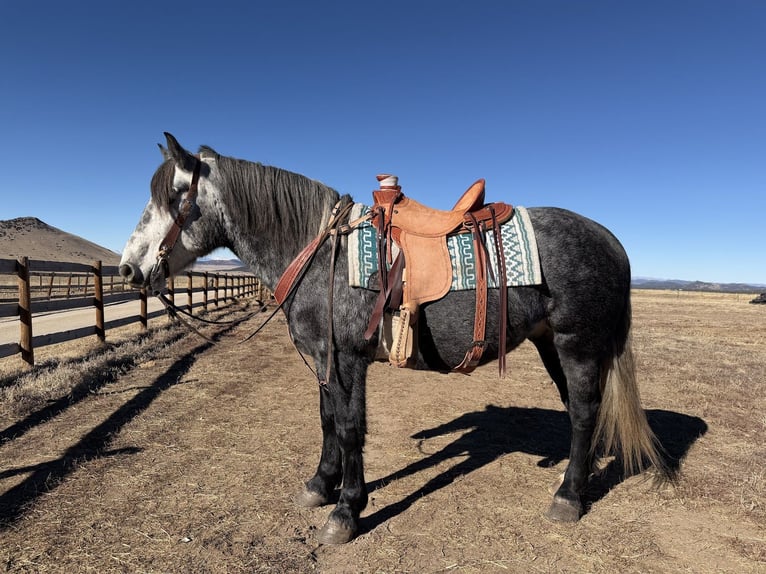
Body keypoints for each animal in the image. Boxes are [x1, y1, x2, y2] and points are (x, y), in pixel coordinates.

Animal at [119, 133, 670, 544]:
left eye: (174, 197)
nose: (129, 269)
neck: (319, 253)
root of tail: (611, 241)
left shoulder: (346, 360)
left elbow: (349, 428)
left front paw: (345, 511)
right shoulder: (324, 359)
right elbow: (326, 421)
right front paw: (319, 485)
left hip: (577, 344)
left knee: (583, 412)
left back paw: (568, 498)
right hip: (552, 344)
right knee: (583, 409)